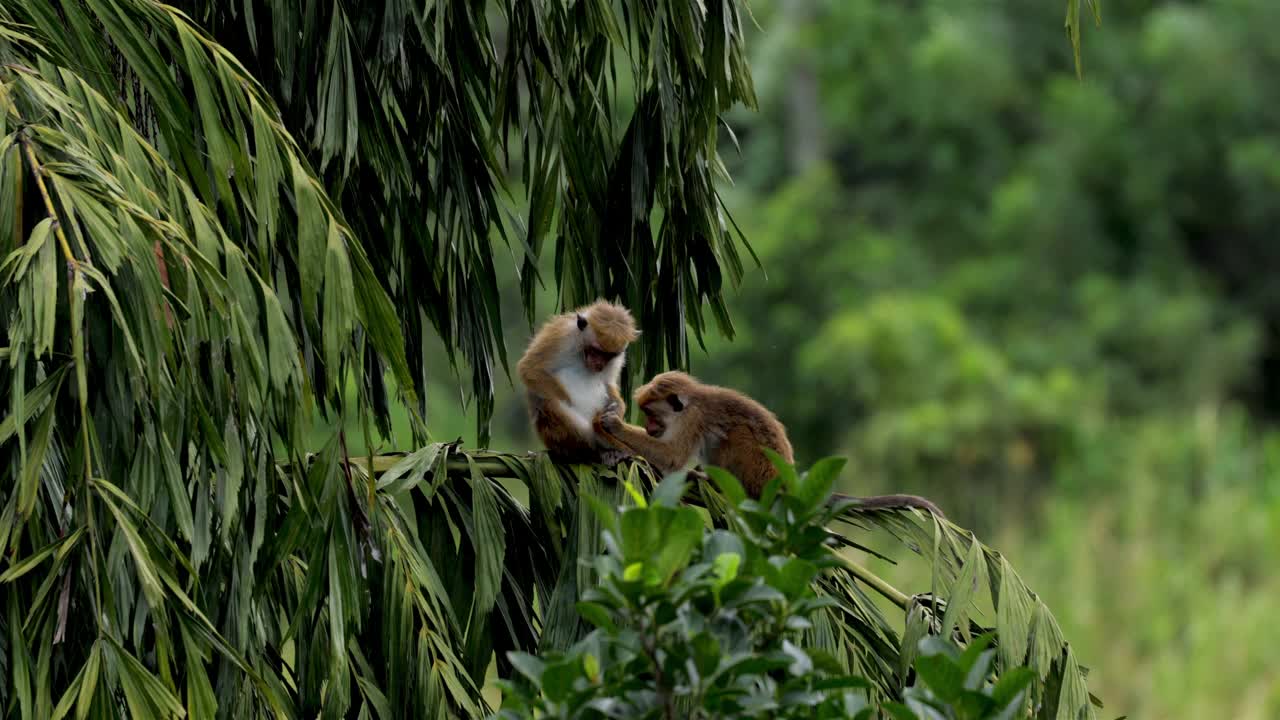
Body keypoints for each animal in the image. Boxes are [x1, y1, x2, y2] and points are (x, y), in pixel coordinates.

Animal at [517, 298, 640, 461]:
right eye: (595, 350)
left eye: (608, 355)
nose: (598, 364)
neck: (581, 348)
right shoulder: (562, 335)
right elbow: (530, 369)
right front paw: (571, 403)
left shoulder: (619, 357)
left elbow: (608, 382)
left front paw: (617, 409)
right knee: (550, 403)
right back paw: (595, 447)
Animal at [593, 368, 947, 515]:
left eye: (652, 414)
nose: (648, 426)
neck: (689, 404)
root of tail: (785, 480)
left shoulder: (692, 420)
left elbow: (672, 456)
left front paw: (614, 424)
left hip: (758, 471)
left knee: (735, 437)